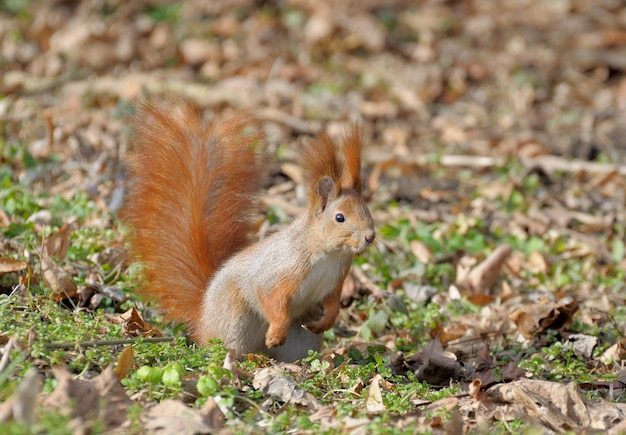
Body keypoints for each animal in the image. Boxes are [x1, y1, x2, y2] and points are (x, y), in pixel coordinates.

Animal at [124, 99, 372, 362]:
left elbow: (333, 303)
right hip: (236, 319)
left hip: (301, 340)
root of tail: (203, 321)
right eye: (339, 218)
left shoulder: (336, 280)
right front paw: (276, 331)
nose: (370, 237)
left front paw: (326, 321)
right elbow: (270, 297)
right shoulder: (282, 271)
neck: (328, 254)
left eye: (368, 210)